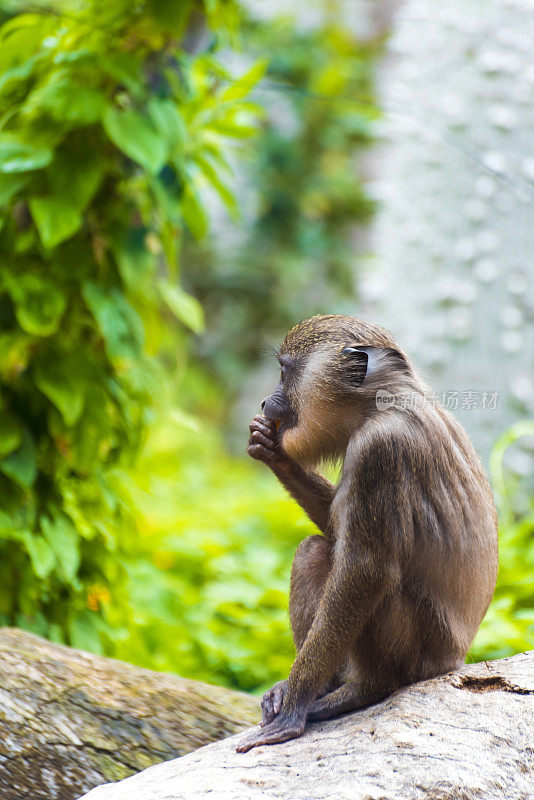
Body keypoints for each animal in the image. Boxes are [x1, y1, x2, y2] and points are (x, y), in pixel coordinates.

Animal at [237, 316, 500, 752]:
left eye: (284, 373)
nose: (264, 404)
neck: (382, 403)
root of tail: (453, 661)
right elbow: (334, 528)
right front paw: (276, 454)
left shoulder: (380, 450)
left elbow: (365, 570)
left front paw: (294, 708)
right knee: (313, 551)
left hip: (415, 653)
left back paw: (359, 691)